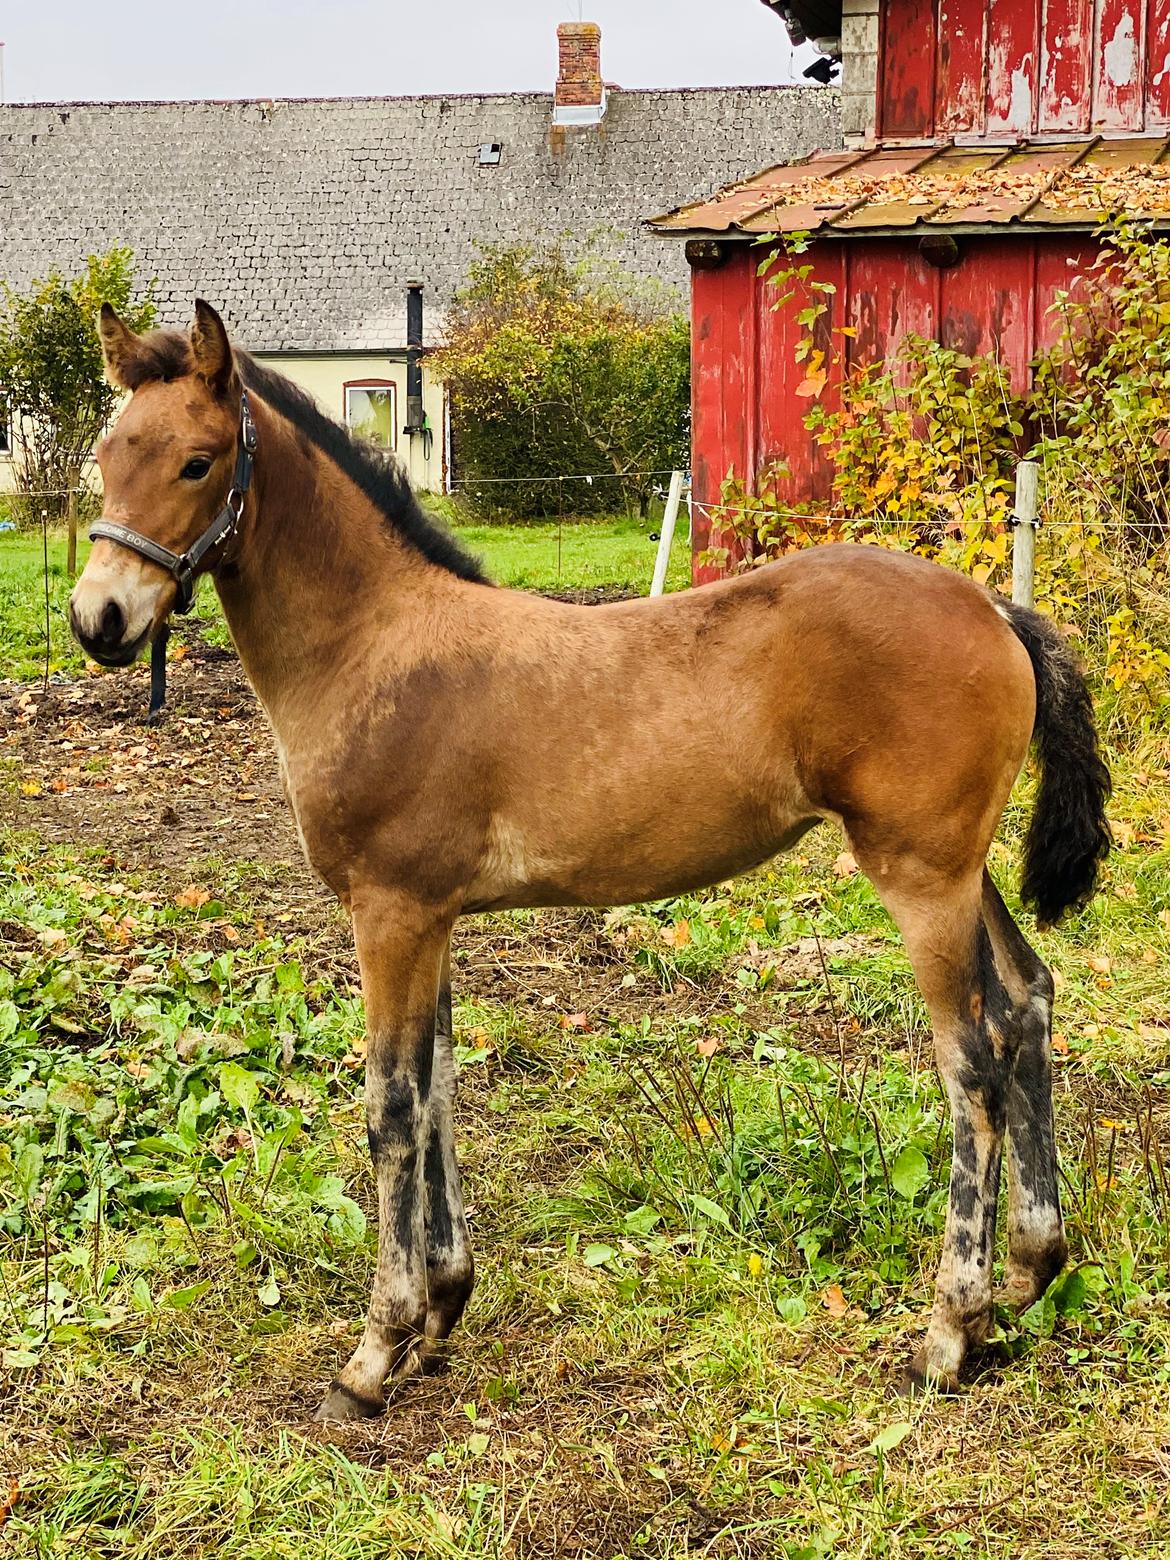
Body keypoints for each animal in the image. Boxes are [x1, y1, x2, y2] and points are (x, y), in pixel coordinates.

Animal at [68, 301, 1110, 1416]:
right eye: (107, 456)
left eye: (197, 461)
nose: (99, 620)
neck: (375, 645)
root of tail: (994, 608)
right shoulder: (433, 914)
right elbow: (438, 1084)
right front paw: (441, 1309)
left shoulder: (388, 910)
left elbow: (391, 1106)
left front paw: (373, 1351)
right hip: (964, 870)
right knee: (1029, 1005)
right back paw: (1030, 1274)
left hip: (920, 880)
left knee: (973, 1066)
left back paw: (951, 1332)